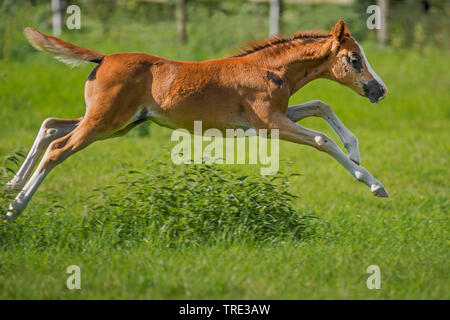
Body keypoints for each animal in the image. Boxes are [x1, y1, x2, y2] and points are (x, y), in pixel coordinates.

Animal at [6, 20, 386, 220]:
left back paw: (12, 184)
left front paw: (354, 150)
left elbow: (321, 105)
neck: (269, 69)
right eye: (354, 59)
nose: (379, 90)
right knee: (58, 146)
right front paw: (373, 183)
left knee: (51, 124)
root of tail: (103, 58)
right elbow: (322, 138)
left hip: (116, 123)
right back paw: (14, 206)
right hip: (105, 122)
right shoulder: (270, 125)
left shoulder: (273, 116)